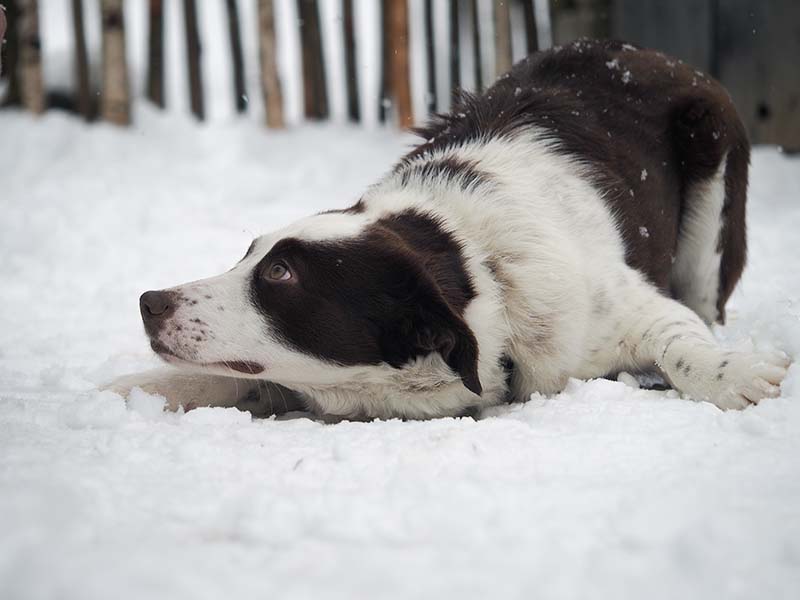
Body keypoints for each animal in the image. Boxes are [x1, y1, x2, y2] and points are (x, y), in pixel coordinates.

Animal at [106, 39, 788, 420]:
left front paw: (736, 377)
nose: (148, 302)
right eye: (248, 254)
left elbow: (682, 345)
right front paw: (130, 388)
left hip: (712, 185)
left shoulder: (635, 310)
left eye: (280, 272)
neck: (483, 267)